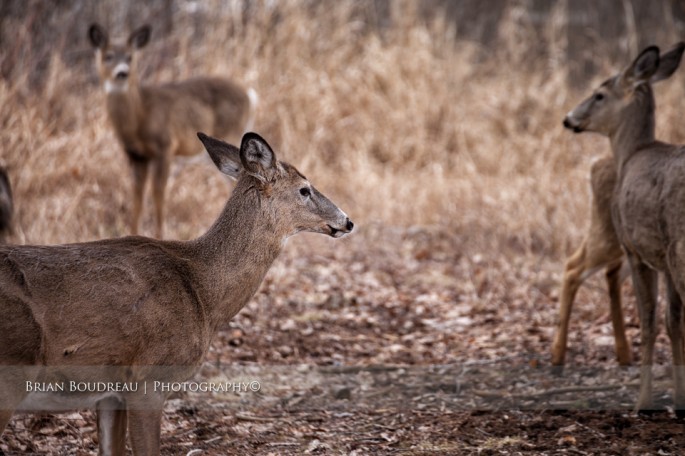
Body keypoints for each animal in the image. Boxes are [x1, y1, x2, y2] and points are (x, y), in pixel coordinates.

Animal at [0, 132, 353, 455]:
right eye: (304, 189)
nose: (347, 221)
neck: (202, 292)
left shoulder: (111, 392)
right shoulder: (148, 379)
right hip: (11, 375)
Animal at [88, 23, 258, 239]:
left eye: (130, 56)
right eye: (108, 56)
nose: (122, 73)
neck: (140, 116)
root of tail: (250, 96)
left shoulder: (165, 146)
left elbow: (158, 193)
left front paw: (159, 235)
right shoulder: (135, 155)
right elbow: (137, 196)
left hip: (231, 134)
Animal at [551, 155, 631, 369]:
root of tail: (595, 165)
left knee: (611, 274)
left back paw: (625, 355)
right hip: (611, 235)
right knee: (573, 267)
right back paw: (557, 355)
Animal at [563, 42, 685, 415]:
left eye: (599, 94)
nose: (568, 118)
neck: (631, 153)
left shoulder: (637, 250)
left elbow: (650, 321)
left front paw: (644, 401)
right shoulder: (662, 259)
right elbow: (673, 322)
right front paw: (679, 398)